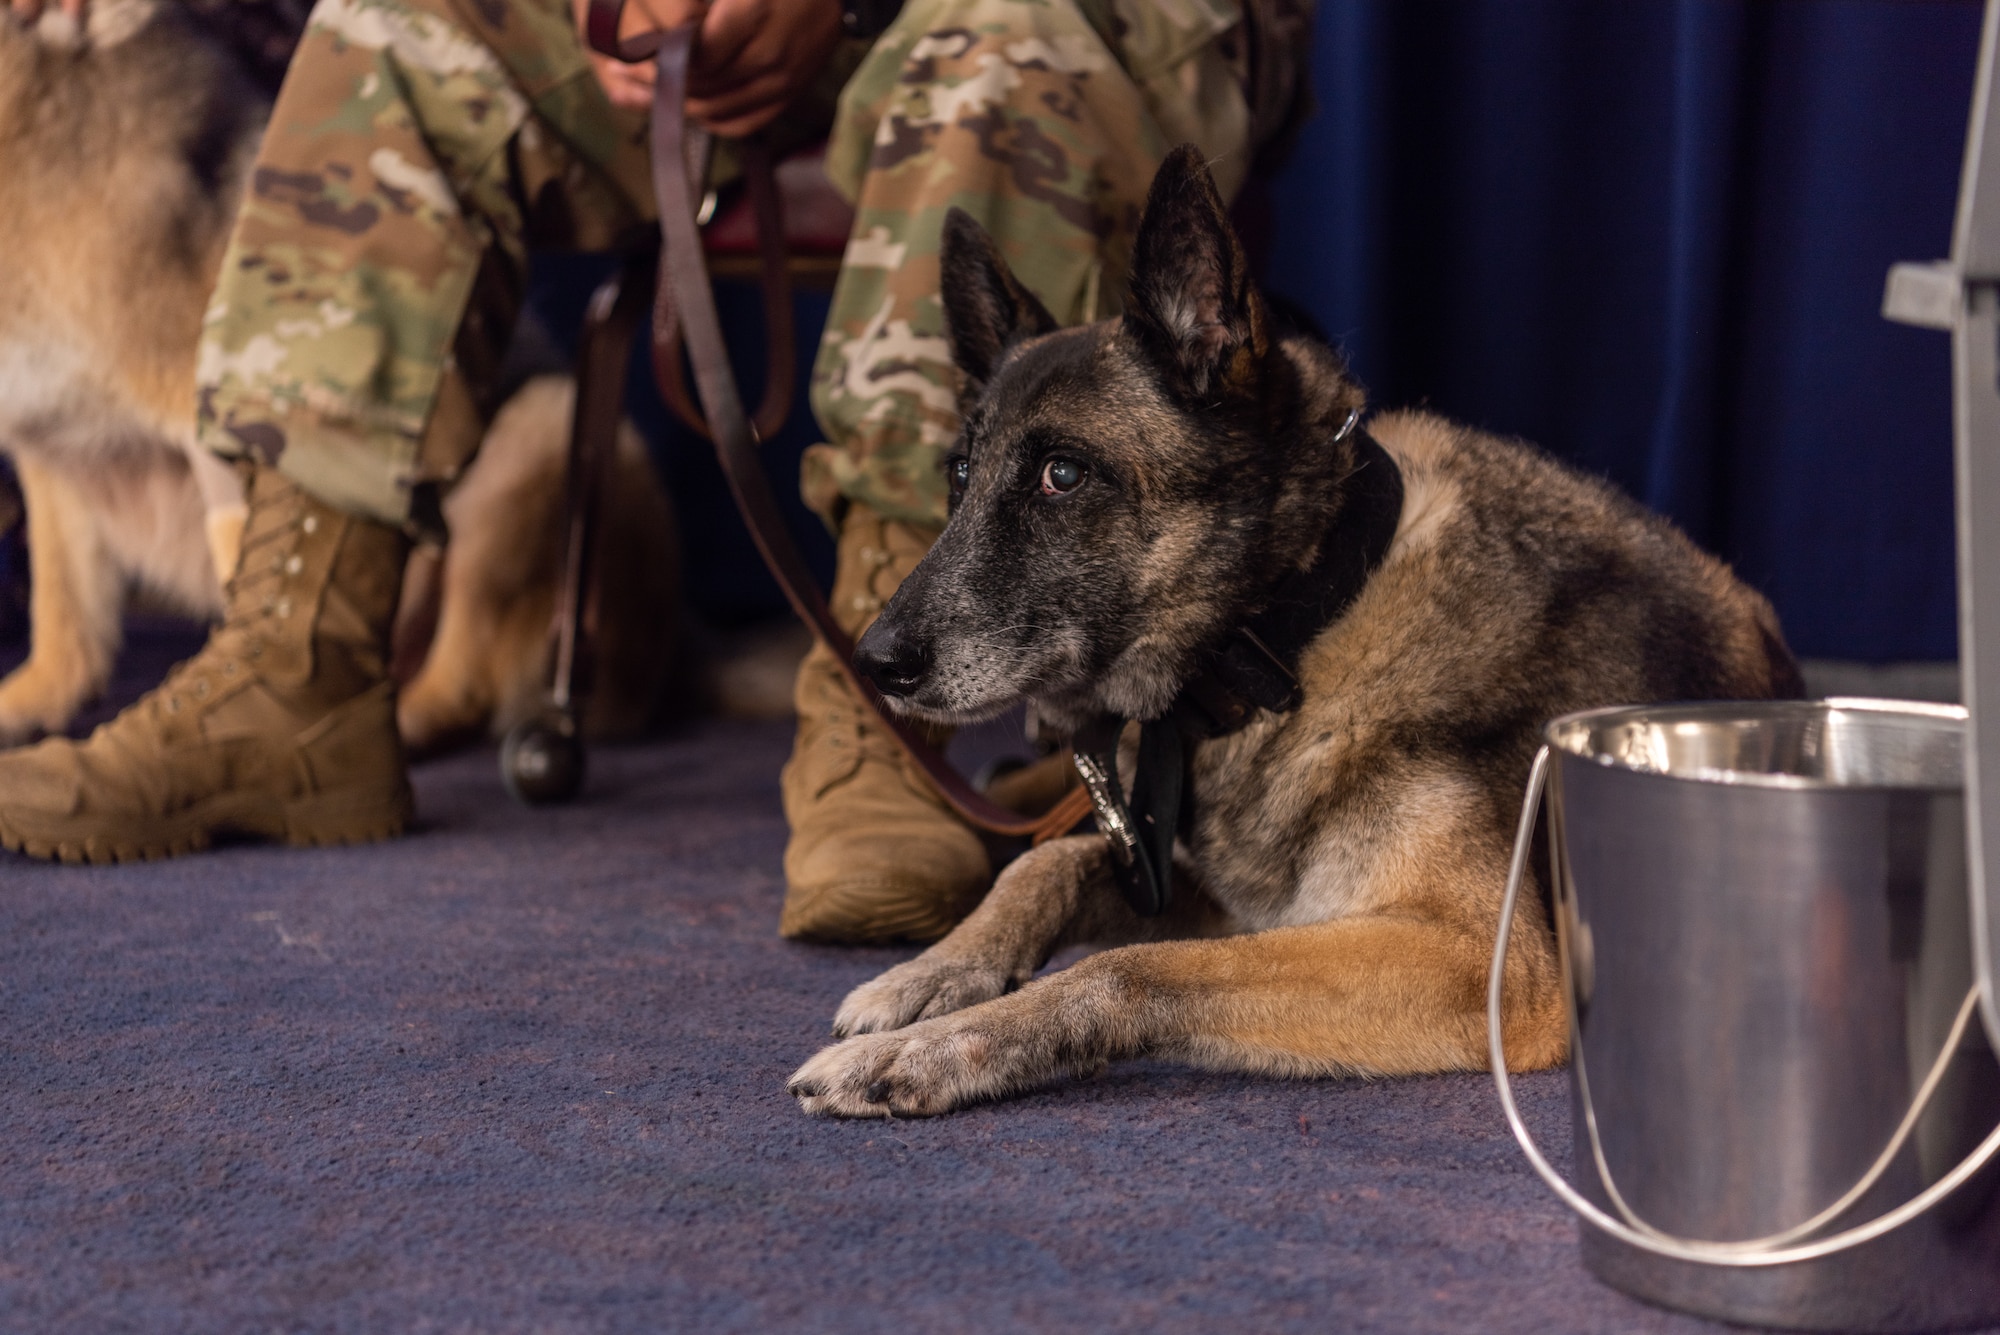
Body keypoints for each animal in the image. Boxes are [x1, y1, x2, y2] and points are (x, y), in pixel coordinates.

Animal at [0, 0, 680, 751]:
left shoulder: (221, 410)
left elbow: (246, 561)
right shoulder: (53, 446)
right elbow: (66, 609)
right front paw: (33, 701)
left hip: (538, 439)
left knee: (465, 682)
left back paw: (401, 717)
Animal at [784, 148, 1816, 1119]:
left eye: (1062, 476)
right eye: (960, 476)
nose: (874, 662)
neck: (1300, 621)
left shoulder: (1482, 963)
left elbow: (1129, 964)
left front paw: (935, 1048)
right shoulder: (1215, 883)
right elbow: (1050, 862)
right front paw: (935, 970)